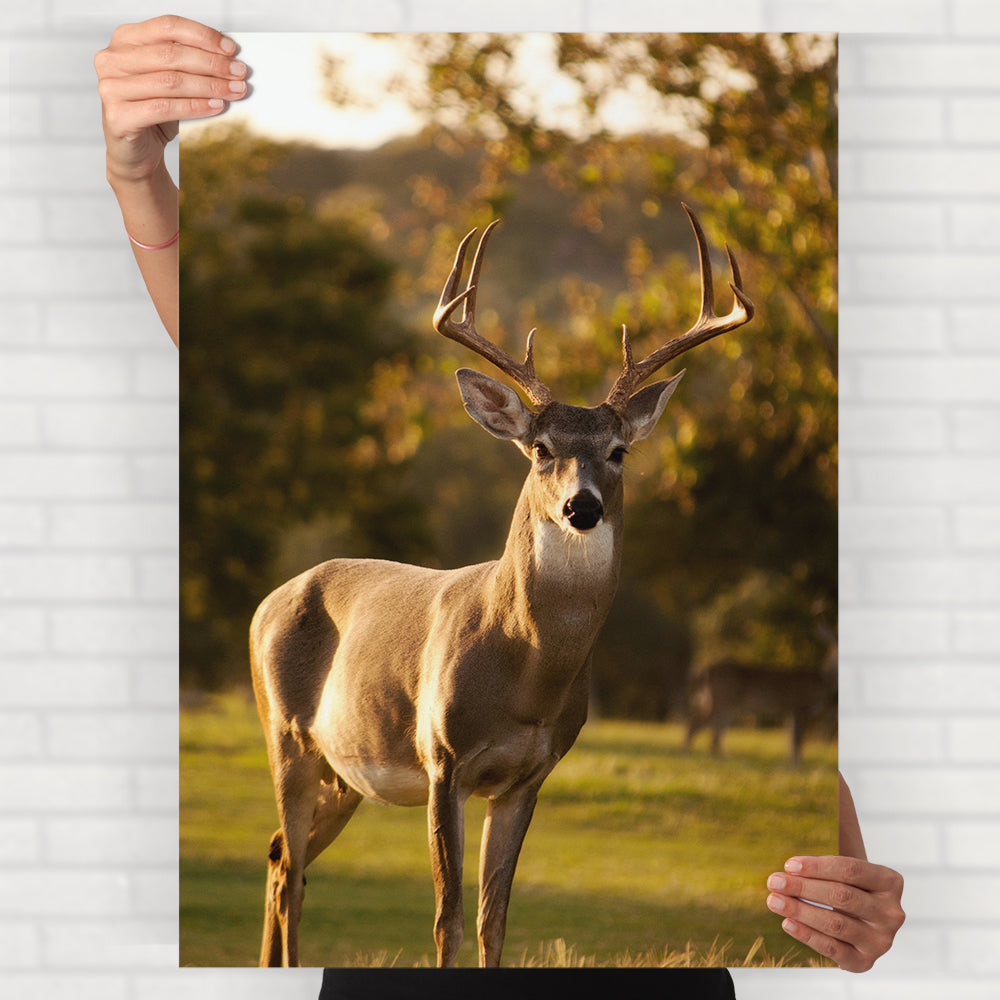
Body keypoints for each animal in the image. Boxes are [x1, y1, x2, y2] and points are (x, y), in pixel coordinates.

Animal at [249, 204, 753, 968]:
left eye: (618, 451)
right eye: (541, 448)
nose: (582, 506)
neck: (525, 675)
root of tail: (267, 603)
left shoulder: (527, 777)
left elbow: (494, 919)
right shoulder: (443, 760)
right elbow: (447, 917)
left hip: (344, 772)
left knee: (283, 858)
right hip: (286, 735)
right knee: (291, 869)